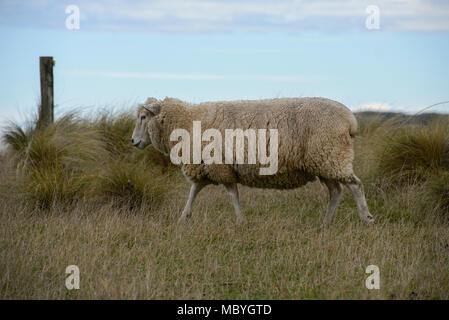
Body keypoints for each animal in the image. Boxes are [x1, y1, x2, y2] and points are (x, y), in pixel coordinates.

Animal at [131, 96, 372, 226]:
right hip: (323, 161)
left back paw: (366, 218)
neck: (187, 121)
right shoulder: (208, 167)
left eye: (143, 117)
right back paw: (326, 223)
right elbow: (194, 192)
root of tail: (349, 119)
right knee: (336, 191)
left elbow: (232, 194)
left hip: (331, 156)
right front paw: (184, 218)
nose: (133, 141)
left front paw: (240, 221)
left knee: (355, 186)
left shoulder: (219, 166)